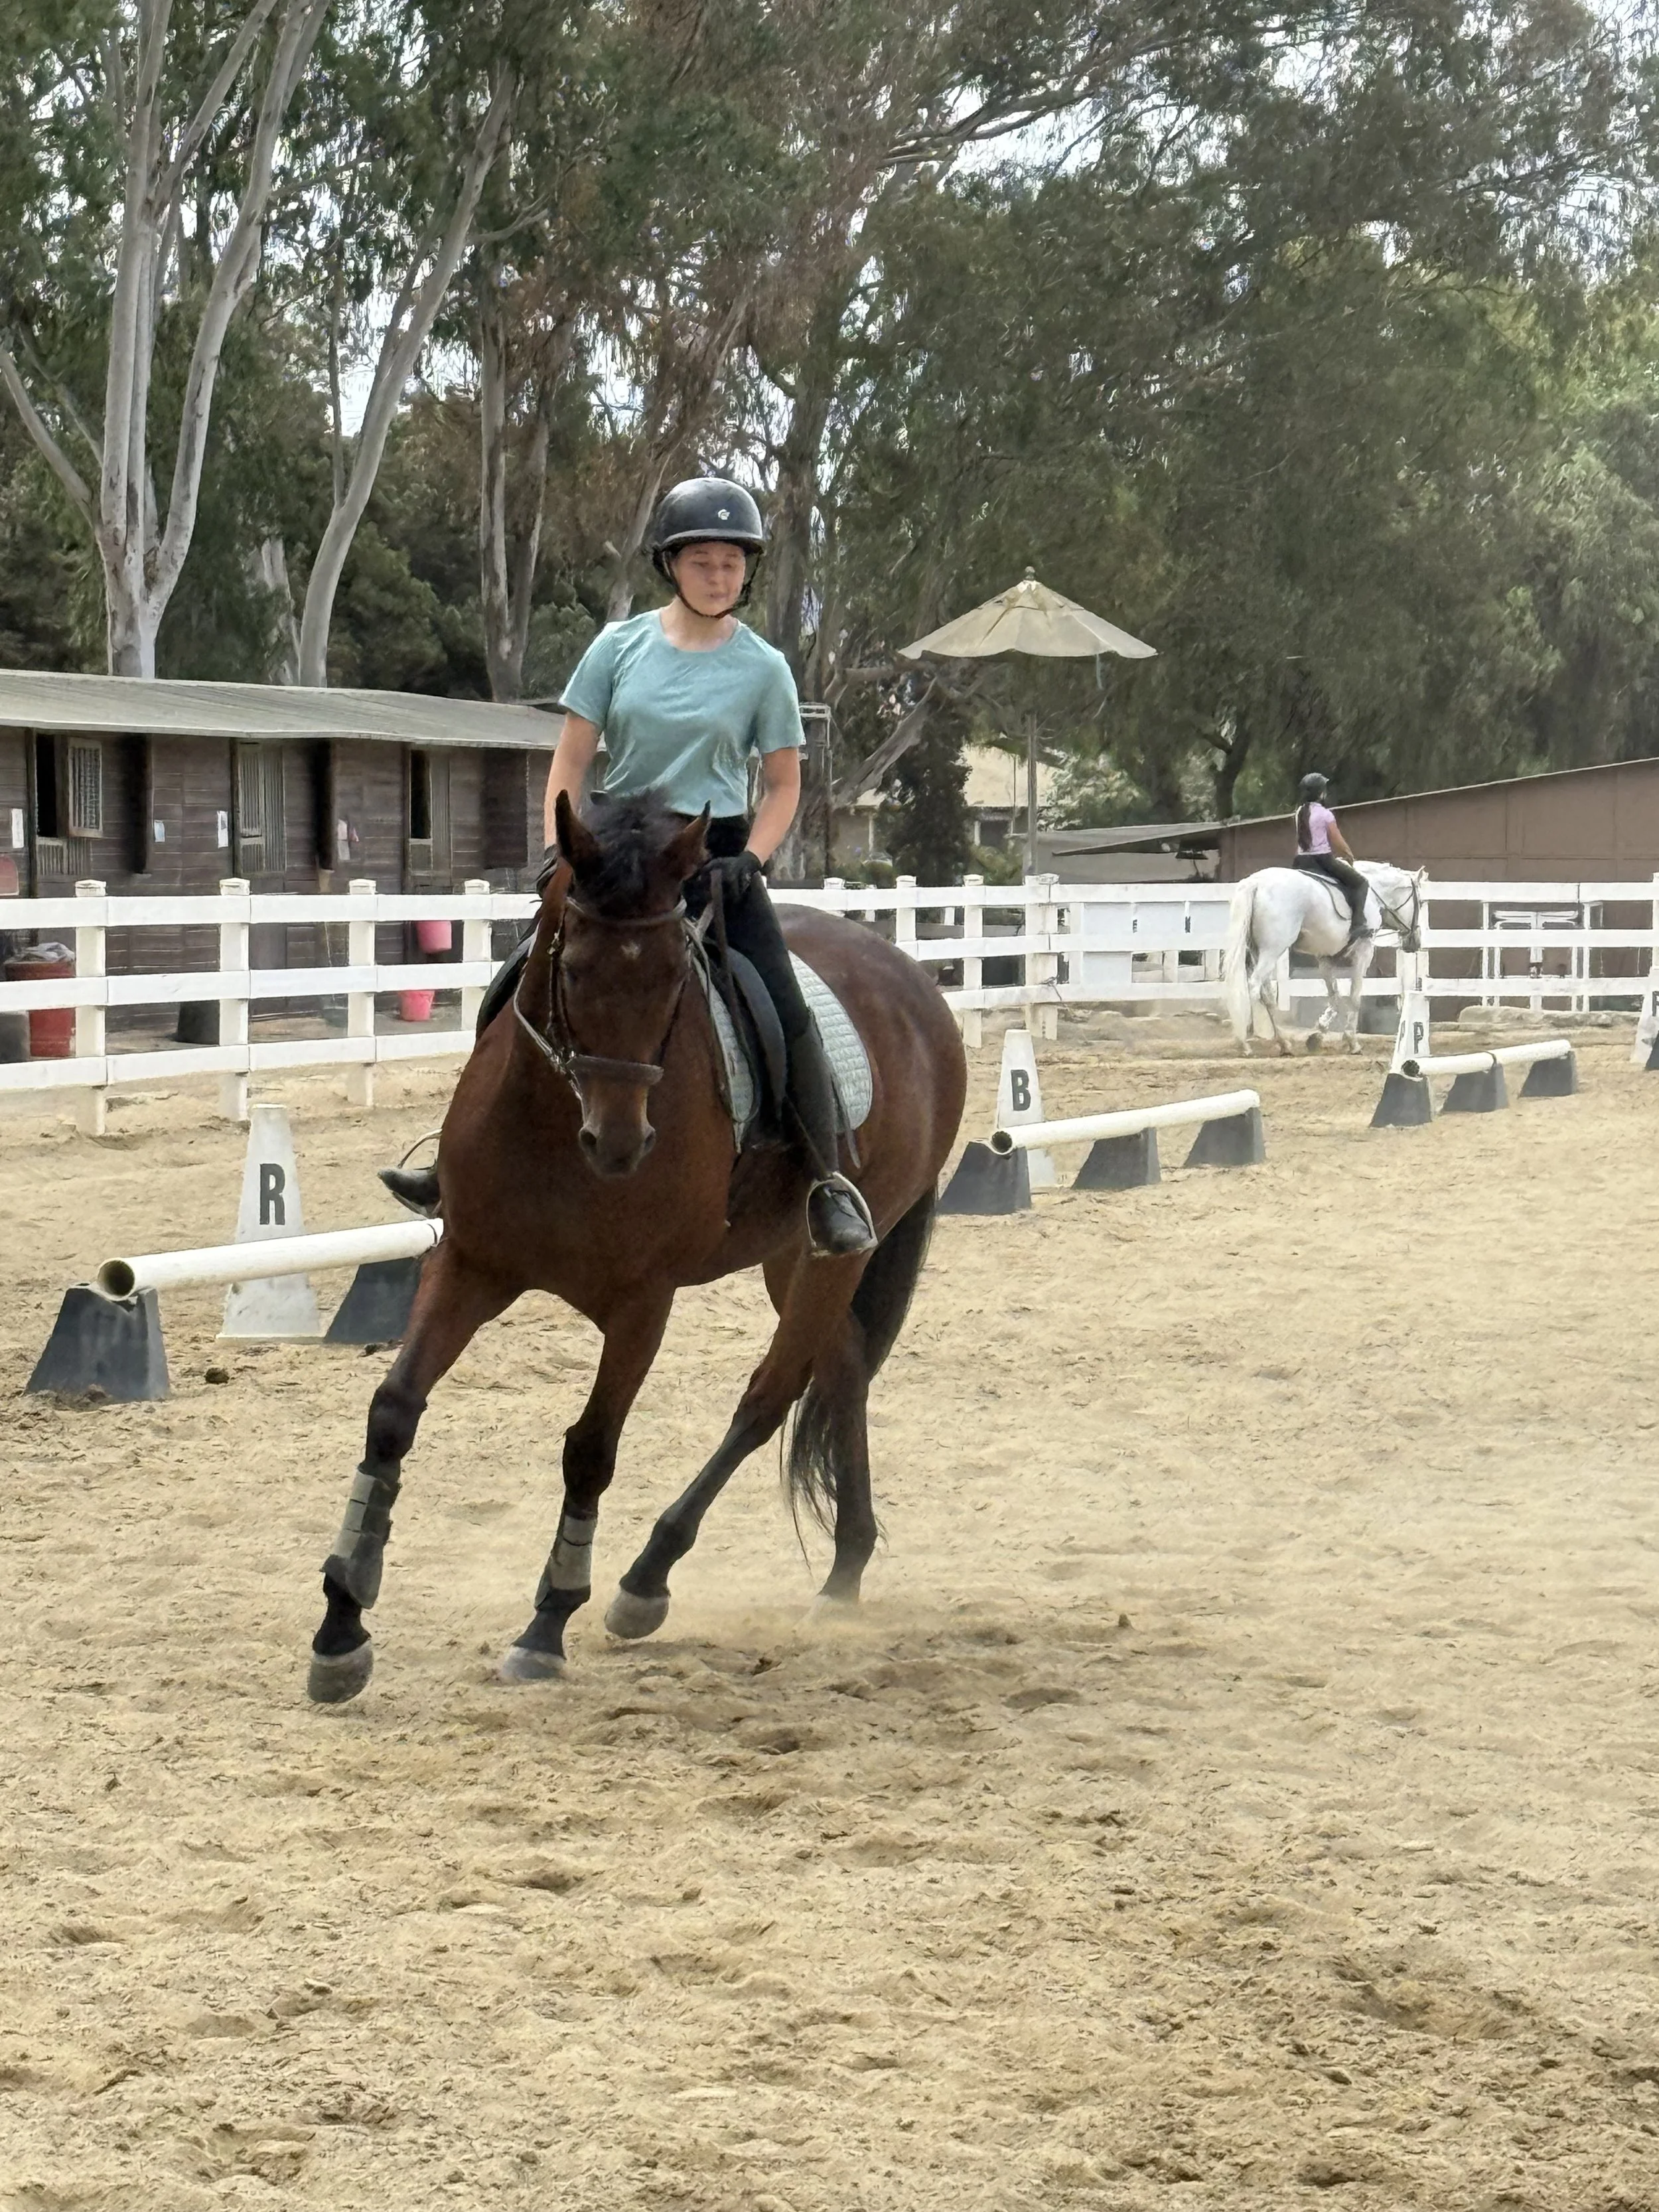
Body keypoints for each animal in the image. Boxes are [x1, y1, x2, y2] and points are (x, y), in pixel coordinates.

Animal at [306, 792, 969, 1703]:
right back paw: (844, 1572)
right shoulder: (473, 1263)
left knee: (770, 1397)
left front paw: (548, 1623)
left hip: (838, 1255)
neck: (557, 1133)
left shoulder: (641, 1304)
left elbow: (590, 1449)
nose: (620, 1143)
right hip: (790, 1256)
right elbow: (393, 1411)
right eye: (575, 969)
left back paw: (648, 1579)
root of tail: (911, 980)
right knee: (841, 1372)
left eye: (673, 982)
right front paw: (342, 1623)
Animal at [1223, 860, 1425, 1055]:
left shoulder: (1326, 957)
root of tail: (1256, 882)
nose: (1415, 942)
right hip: (1272, 951)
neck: (1374, 895)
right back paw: (1244, 1043)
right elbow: (1354, 997)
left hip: (1259, 953)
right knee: (1253, 988)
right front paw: (1352, 1041)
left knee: (1267, 995)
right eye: (1422, 903)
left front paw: (1318, 1033)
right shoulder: (1364, 951)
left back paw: (1284, 1043)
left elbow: (1334, 995)